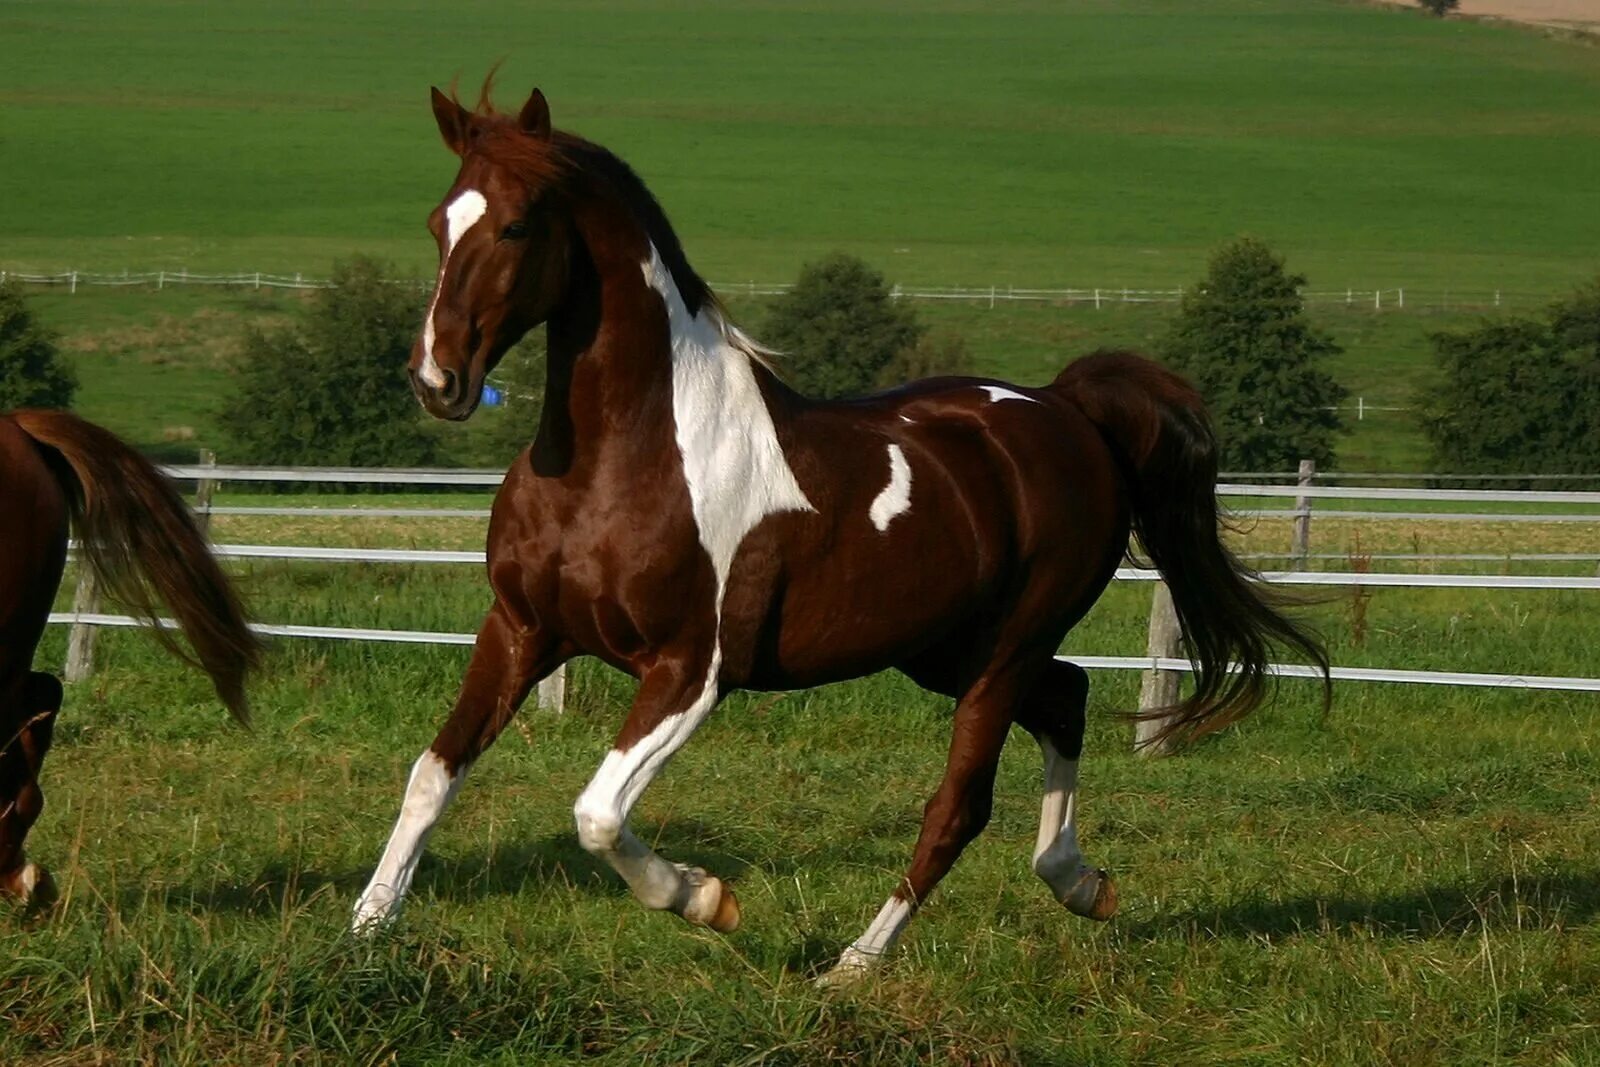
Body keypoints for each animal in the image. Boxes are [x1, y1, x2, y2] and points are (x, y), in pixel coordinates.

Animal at [356, 87, 1331, 979]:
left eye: (517, 227)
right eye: (439, 222)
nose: (437, 379)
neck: (622, 455)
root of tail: (1067, 409)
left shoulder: (690, 670)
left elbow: (597, 814)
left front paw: (707, 898)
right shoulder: (522, 629)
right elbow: (431, 774)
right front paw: (367, 929)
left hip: (1005, 650)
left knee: (960, 804)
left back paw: (854, 966)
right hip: (943, 648)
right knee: (1069, 696)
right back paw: (1081, 884)